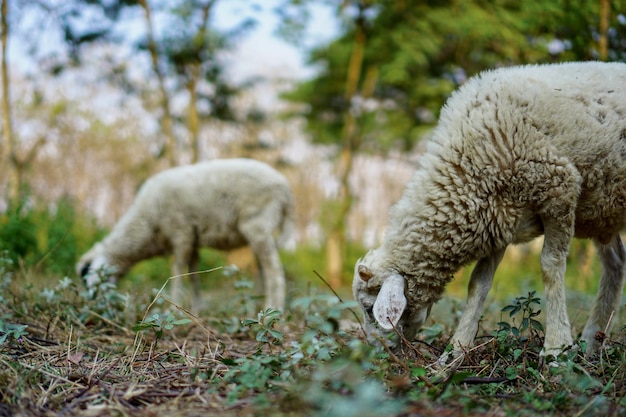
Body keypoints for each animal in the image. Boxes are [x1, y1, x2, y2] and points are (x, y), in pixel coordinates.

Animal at [77, 158, 296, 310]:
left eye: (86, 274)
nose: (90, 302)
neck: (145, 224)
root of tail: (285, 189)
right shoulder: (193, 238)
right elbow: (193, 272)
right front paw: (197, 308)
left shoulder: (181, 232)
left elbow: (178, 269)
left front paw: (173, 306)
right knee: (264, 268)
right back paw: (259, 305)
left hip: (257, 223)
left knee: (274, 270)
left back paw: (274, 307)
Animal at [354, 61, 624, 364]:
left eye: (369, 308)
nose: (378, 353)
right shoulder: (498, 217)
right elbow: (478, 284)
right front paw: (454, 352)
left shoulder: (558, 187)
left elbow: (550, 267)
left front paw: (556, 347)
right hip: (604, 211)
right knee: (616, 262)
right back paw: (591, 342)